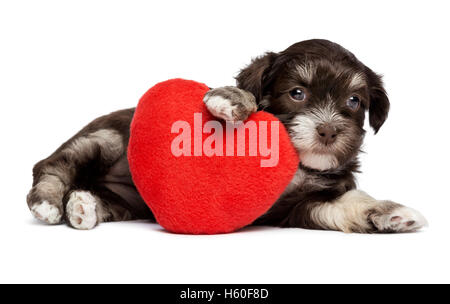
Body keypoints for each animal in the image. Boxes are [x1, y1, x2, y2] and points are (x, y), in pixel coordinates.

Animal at [26, 39, 428, 232]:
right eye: (297, 93)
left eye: (354, 101)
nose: (328, 130)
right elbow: (238, 101)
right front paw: (231, 99)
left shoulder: (305, 204)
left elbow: (349, 204)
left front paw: (392, 214)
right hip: (104, 138)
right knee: (51, 166)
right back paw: (49, 202)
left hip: (128, 201)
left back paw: (83, 206)